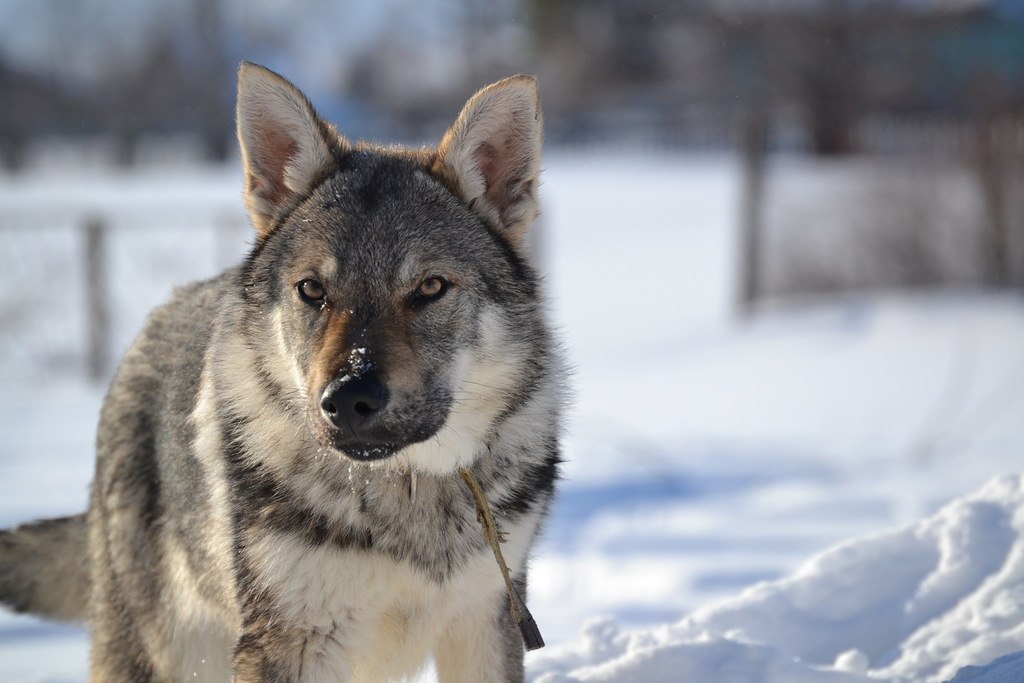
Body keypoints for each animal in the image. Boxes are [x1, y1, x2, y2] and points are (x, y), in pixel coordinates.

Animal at [0, 61, 569, 679]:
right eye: (312, 290)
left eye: (430, 288)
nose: (347, 397)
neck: (405, 489)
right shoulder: (291, 643)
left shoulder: (487, 622)